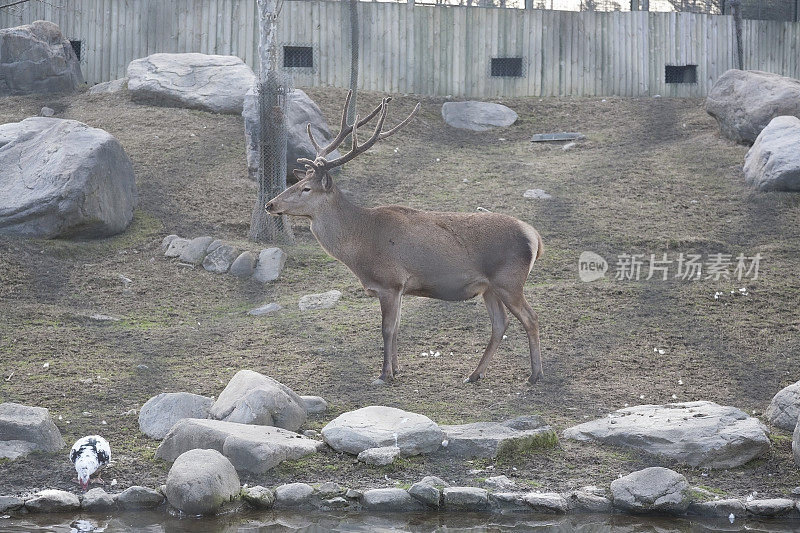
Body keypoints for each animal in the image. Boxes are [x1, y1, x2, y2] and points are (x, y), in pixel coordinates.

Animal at [268, 90, 544, 382]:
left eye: (306, 188)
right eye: (297, 182)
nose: (270, 204)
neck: (359, 248)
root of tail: (535, 237)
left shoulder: (389, 281)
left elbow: (387, 329)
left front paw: (384, 374)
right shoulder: (400, 287)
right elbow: (398, 327)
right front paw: (397, 369)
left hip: (509, 281)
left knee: (531, 317)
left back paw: (535, 374)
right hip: (489, 287)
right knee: (500, 323)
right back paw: (474, 374)